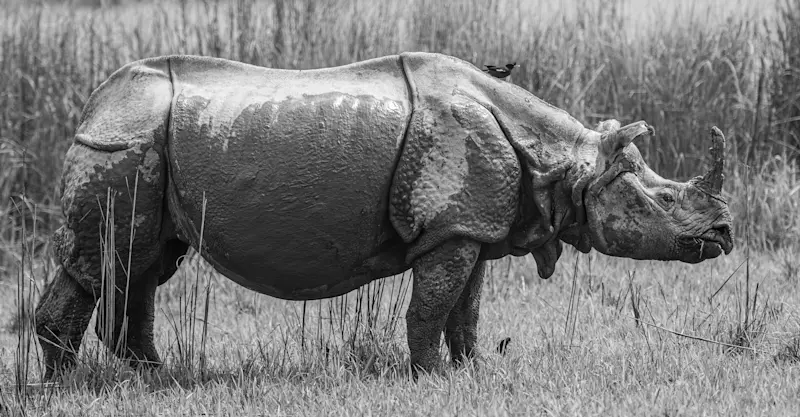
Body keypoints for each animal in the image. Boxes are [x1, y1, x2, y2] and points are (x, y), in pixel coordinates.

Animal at [34, 52, 733, 379]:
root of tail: (94, 104)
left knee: (144, 267)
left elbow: (467, 307)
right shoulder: (450, 230)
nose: (725, 235)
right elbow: (431, 305)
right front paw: (429, 377)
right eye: (665, 201)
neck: (561, 161)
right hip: (123, 144)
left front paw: (472, 371)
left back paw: (154, 376)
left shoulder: (468, 225)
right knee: (106, 264)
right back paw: (74, 388)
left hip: (148, 143)